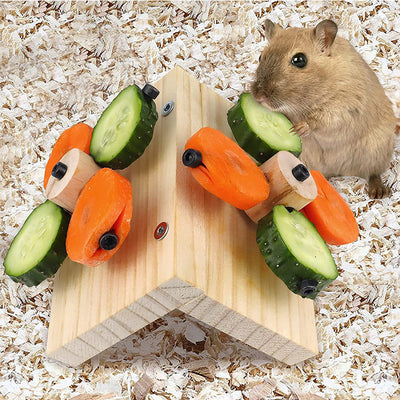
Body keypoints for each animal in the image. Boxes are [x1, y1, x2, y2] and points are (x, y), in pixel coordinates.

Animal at [252, 19, 396, 198]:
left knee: (373, 173)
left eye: (299, 60)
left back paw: (378, 192)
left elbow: (319, 120)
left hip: (376, 151)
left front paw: (298, 128)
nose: (258, 96)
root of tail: (337, 172)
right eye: (260, 57)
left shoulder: (344, 106)